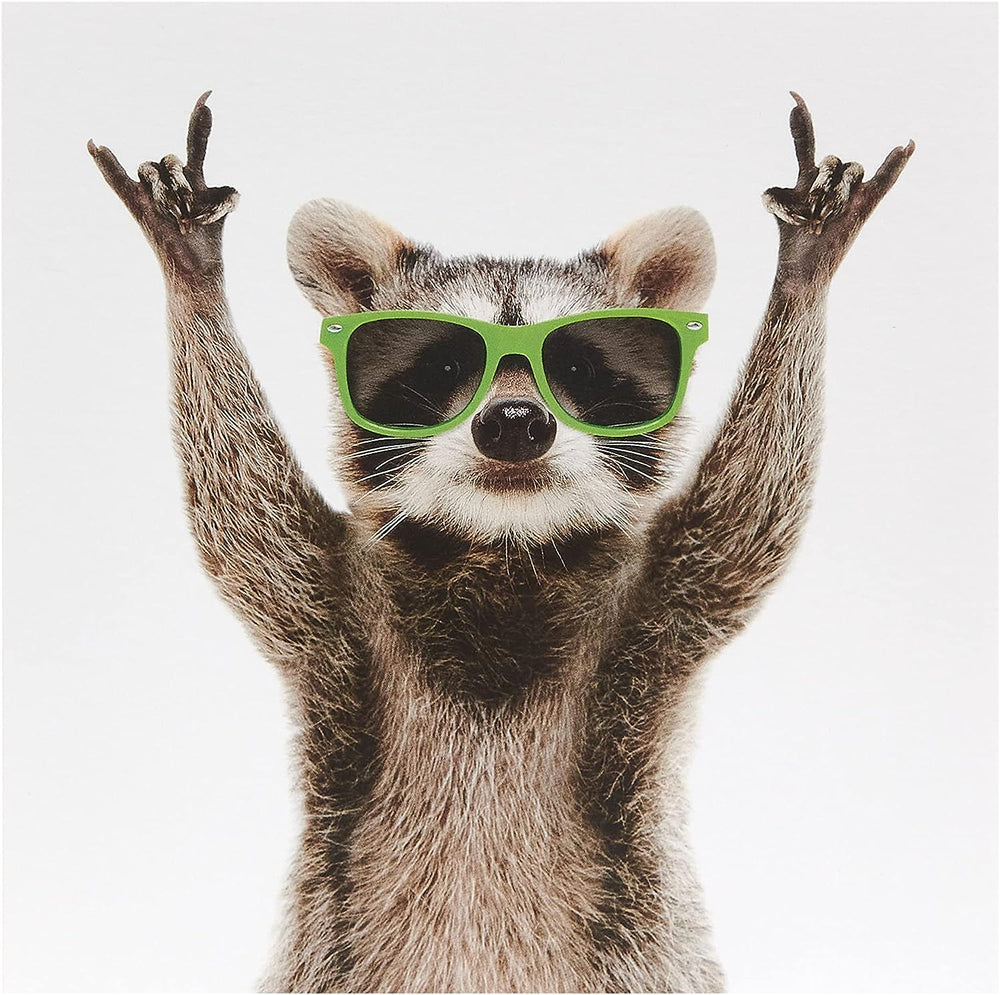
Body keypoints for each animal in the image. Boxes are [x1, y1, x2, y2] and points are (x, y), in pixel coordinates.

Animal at [89, 92, 913, 992]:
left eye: (579, 369)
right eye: (444, 365)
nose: (515, 422)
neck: (503, 549)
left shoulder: (657, 606)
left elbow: (750, 513)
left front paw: (802, 276)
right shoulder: (333, 607)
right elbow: (242, 514)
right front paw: (195, 279)